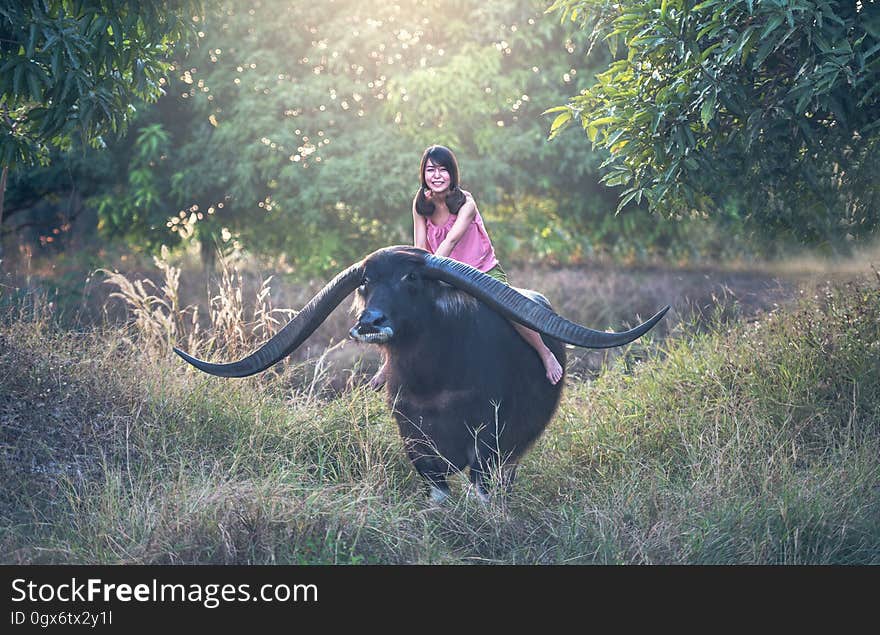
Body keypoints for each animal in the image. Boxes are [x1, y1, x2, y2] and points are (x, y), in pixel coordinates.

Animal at [174, 247, 668, 502]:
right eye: (365, 282)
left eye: (411, 279)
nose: (370, 322)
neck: (435, 381)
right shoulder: (412, 435)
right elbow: (435, 486)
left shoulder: (487, 440)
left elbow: (481, 486)